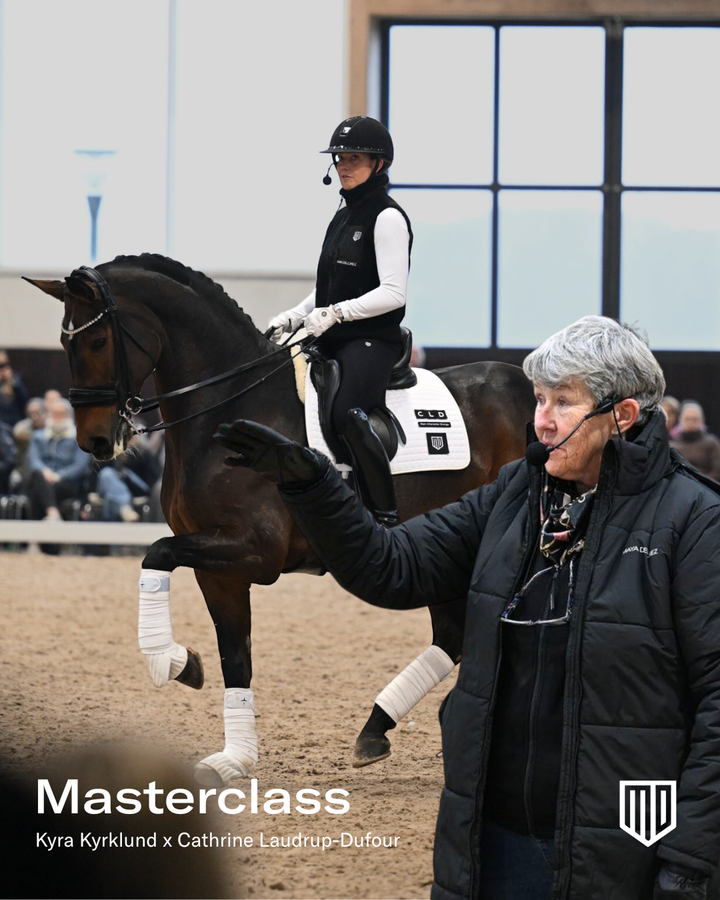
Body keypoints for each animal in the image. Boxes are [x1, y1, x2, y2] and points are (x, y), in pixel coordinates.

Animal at [26, 254, 536, 787]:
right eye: (63, 342)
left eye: (98, 342)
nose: (95, 442)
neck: (228, 408)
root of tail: (527, 383)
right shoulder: (217, 567)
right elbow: (235, 655)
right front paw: (231, 749)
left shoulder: (256, 551)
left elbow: (157, 553)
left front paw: (169, 662)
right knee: (451, 635)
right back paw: (375, 731)